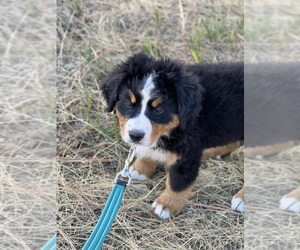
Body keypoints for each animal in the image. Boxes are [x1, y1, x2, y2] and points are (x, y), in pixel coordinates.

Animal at [101, 52, 244, 219]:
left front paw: (166, 205)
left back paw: (242, 199)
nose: (135, 135)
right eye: (128, 104)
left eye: (159, 110)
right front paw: (141, 168)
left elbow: (177, 183)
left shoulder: (187, 154)